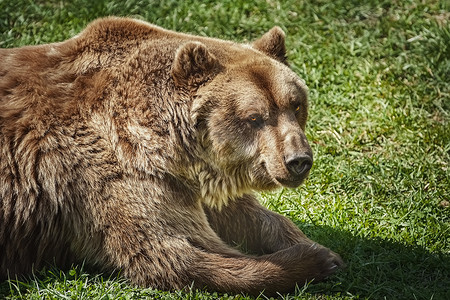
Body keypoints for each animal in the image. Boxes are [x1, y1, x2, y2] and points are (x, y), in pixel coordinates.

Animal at [0, 17, 342, 296]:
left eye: (295, 105)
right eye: (255, 117)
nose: (298, 160)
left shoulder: (194, 180)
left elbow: (250, 216)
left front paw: (312, 245)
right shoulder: (108, 173)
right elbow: (172, 253)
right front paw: (318, 260)